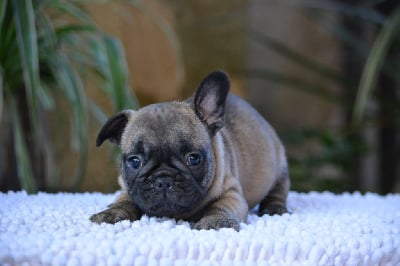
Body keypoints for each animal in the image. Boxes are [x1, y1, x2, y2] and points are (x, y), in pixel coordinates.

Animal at [90, 70, 290, 231]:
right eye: (134, 161)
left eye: (193, 159)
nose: (163, 180)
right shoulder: (128, 189)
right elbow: (124, 200)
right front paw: (111, 213)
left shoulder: (232, 194)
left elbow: (220, 207)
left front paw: (215, 221)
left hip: (280, 169)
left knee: (278, 192)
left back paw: (274, 208)